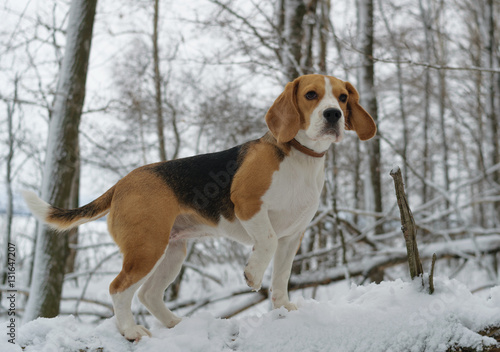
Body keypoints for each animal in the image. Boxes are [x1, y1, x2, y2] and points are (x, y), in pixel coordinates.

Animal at [24, 74, 376, 340]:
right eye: (311, 95)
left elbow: (281, 276)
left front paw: (282, 309)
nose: (333, 115)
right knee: (118, 288)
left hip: (172, 251)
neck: (301, 156)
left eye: (343, 97)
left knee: (148, 294)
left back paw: (175, 324)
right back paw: (131, 331)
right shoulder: (248, 205)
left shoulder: (293, 235)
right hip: (146, 247)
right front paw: (252, 275)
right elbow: (266, 242)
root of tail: (122, 183)